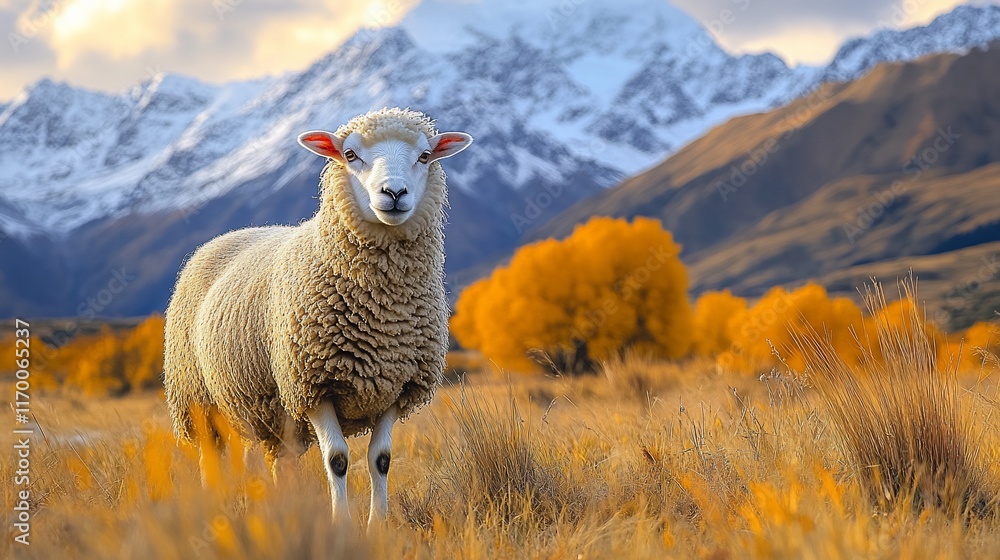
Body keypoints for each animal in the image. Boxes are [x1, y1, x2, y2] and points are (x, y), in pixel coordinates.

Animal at [163, 107, 472, 528]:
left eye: (425, 157)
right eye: (350, 155)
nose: (393, 194)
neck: (382, 312)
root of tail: (232, 234)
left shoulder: (395, 386)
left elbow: (381, 460)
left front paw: (379, 525)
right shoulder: (312, 385)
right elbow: (337, 459)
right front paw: (341, 524)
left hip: (272, 410)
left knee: (278, 458)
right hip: (196, 397)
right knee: (212, 455)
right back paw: (215, 510)